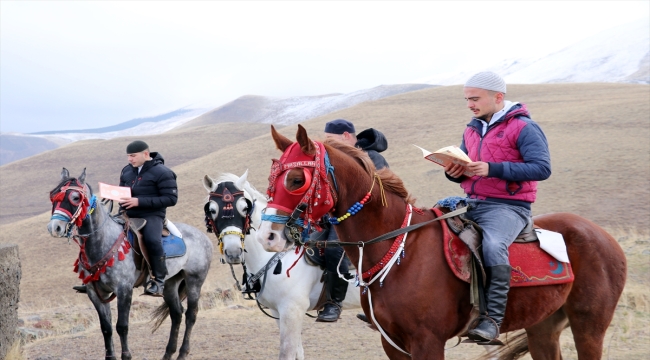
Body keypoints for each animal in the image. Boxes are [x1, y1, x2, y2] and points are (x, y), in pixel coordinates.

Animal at [46, 169, 213, 360]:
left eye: (75, 197)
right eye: (53, 196)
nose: (54, 227)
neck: (102, 242)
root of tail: (203, 236)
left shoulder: (124, 290)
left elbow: (122, 326)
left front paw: (126, 355)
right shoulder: (95, 293)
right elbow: (106, 328)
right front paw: (110, 356)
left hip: (194, 280)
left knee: (191, 315)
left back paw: (182, 353)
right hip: (171, 283)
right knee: (176, 314)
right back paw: (168, 353)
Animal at [202, 172, 360, 360]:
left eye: (244, 208)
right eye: (212, 210)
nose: (233, 251)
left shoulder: (292, 311)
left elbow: (287, 353)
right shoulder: (278, 312)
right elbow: (298, 353)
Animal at [256, 124, 624, 360]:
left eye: (297, 179)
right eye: (272, 178)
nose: (267, 236)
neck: (399, 248)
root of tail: (604, 236)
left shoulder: (427, 342)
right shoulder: (394, 345)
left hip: (589, 326)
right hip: (543, 325)